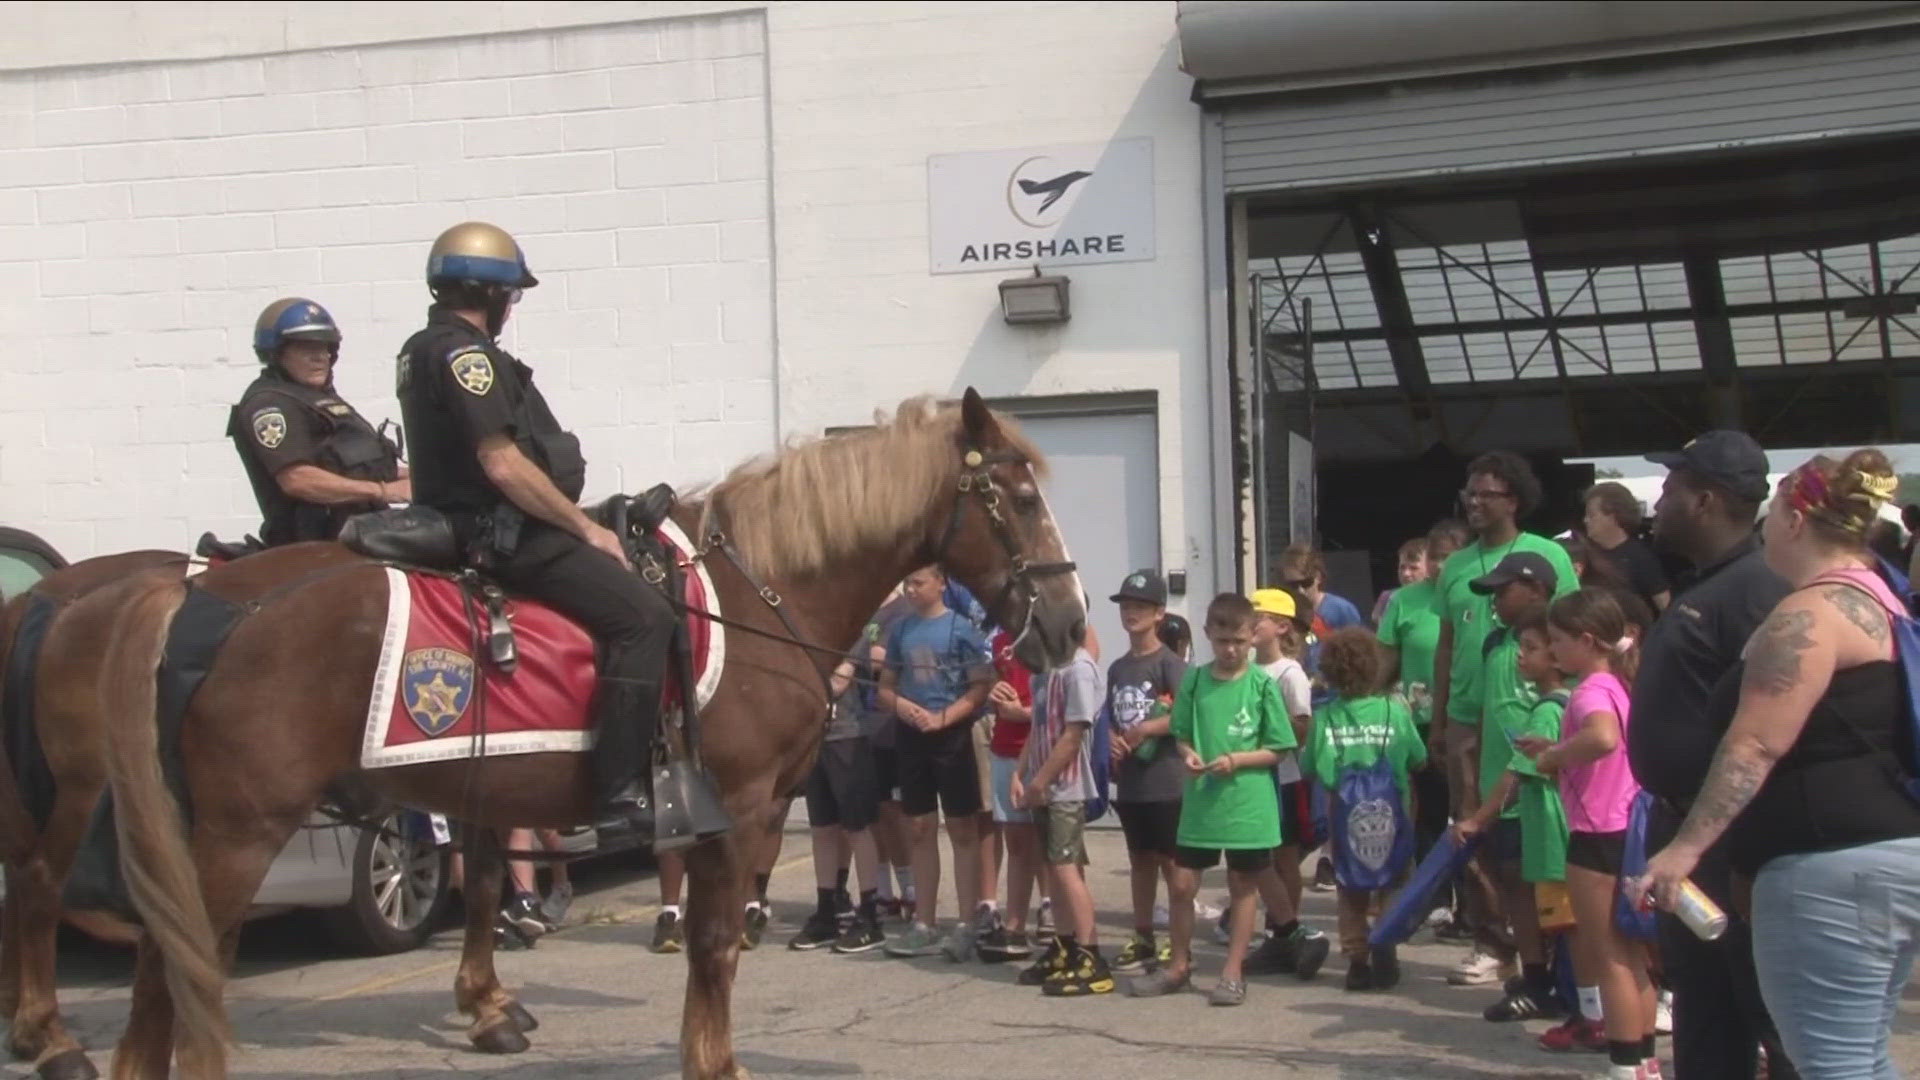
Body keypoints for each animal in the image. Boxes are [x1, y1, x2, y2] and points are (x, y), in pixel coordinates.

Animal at [93, 390, 1082, 1076]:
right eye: (1021, 499)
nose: (1071, 625)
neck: (761, 592)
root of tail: (199, 595)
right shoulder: (742, 809)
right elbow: (714, 946)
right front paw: (714, 1061)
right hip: (240, 833)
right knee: (175, 967)